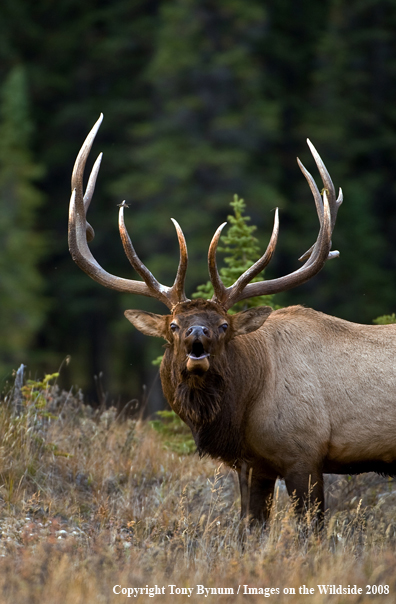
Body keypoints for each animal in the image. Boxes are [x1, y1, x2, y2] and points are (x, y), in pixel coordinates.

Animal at [69, 114, 396, 524]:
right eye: (173, 326)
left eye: (224, 326)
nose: (197, 334)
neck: (244, 409)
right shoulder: (253, 463)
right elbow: (250, 526)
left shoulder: (305, 454)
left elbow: (312, 530)